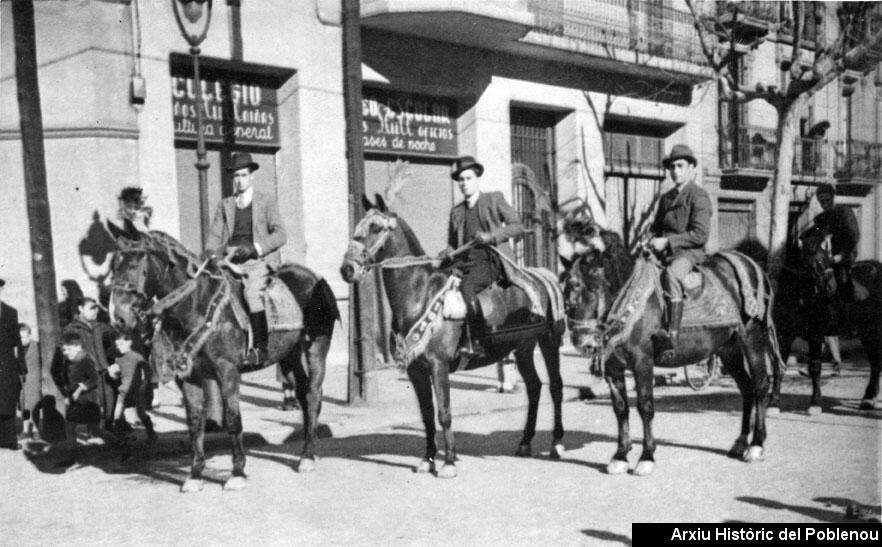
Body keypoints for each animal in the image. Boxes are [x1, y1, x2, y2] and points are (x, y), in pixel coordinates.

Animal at [104, 223, 336, 492]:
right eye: (114, 266)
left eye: (134, 264)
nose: (118, 317)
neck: (196, 305)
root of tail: (313, 277)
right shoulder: (188, 375)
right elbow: (195, 423)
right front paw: (195, 475)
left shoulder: (227, 371)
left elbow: (234, 420)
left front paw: (237, 473)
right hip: (288, 355)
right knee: (302, 393)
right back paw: (308, 452)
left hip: (316, 347)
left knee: (314, 395)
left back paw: (307, 457)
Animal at [336, 195, 564, 478]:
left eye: (376, 227)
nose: (347, 269)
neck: (419, 294)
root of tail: (543, 276)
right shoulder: (416, 370)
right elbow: (427, 415)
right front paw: (427, 459)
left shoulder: (439, 365)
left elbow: (444, 413)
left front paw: (449, 462)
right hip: (522, 347)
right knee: (534, 387)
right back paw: (524, 442)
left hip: (549, 341)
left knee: (556, 387)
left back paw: (556, 444)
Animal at [560, 222, 780, 476]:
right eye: (566, 295)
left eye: (594, 289)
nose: (583, 342)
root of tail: (753, 266)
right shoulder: (614, 367)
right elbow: (620, 408)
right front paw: (620, 455)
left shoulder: (642, 362)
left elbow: (645, 407)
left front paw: (646, 457)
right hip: (729, 350)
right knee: (747, 389)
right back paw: (740, 443)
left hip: (752, 340)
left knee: (761, 386)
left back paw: (756, 445)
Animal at [772, 223, 876, 412]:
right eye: (815, 258)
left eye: (829, 255)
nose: (830, 287)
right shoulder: (784, 334)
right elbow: (779, 366)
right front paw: (773, 403)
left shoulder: (815, 335)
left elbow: (815, 367)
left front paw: (814, 403)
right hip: (867, 334)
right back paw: (868, 399)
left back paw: (869, 398)